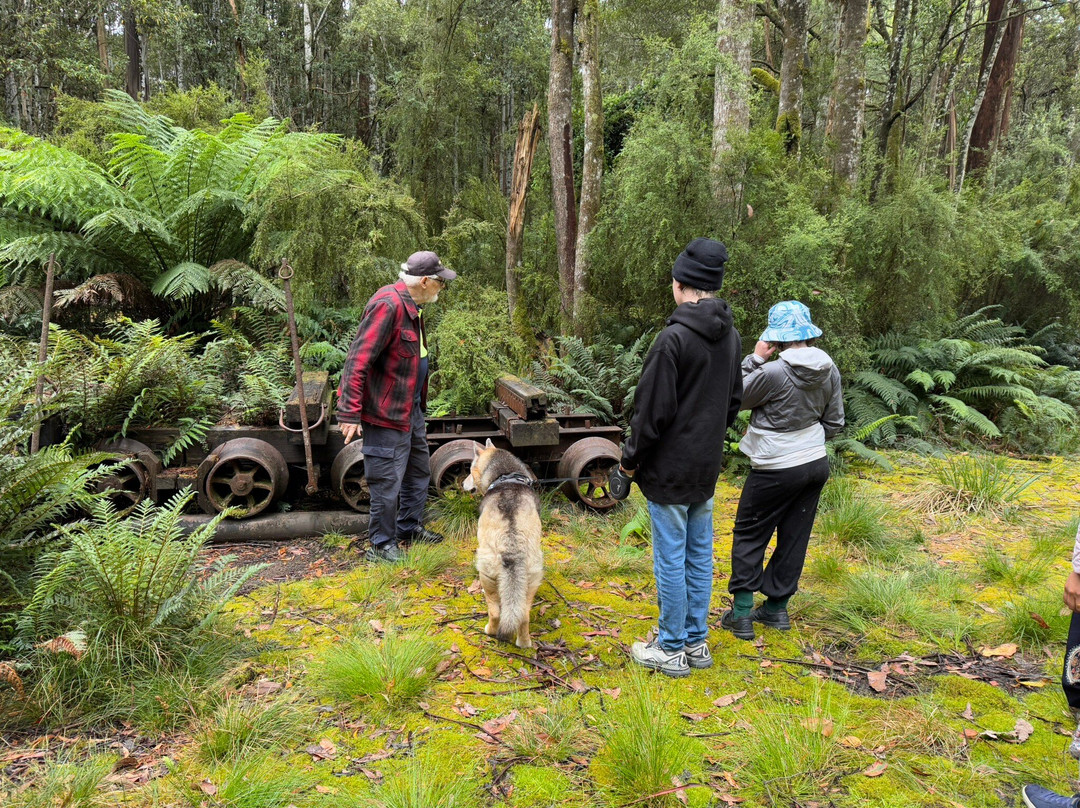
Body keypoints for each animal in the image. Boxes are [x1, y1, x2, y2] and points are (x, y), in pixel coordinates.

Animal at [462, 438, 540, 648]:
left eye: (470, 469)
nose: (462, 484)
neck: (505, 477)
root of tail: (511, 547)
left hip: (487, 576)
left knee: (496, 612)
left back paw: (490, 631)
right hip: (531, 579)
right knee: (523, 615)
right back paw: (524, 643)